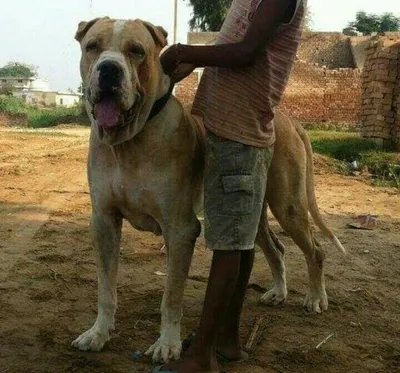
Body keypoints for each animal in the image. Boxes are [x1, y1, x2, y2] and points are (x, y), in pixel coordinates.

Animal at [71, 16, 344, 360]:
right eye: (92, 46)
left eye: (136, 51)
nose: (109, 69)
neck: (130, 142)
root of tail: (288, 119)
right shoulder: (104, 221)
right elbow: (106, 288)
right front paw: (99, 333)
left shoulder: (180, 229)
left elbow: (171, 296)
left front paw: (167, 344)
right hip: (250, 208)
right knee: (275, 248)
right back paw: (278, 292)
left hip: (288, 206)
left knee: (315, 250)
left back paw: (316, 298)